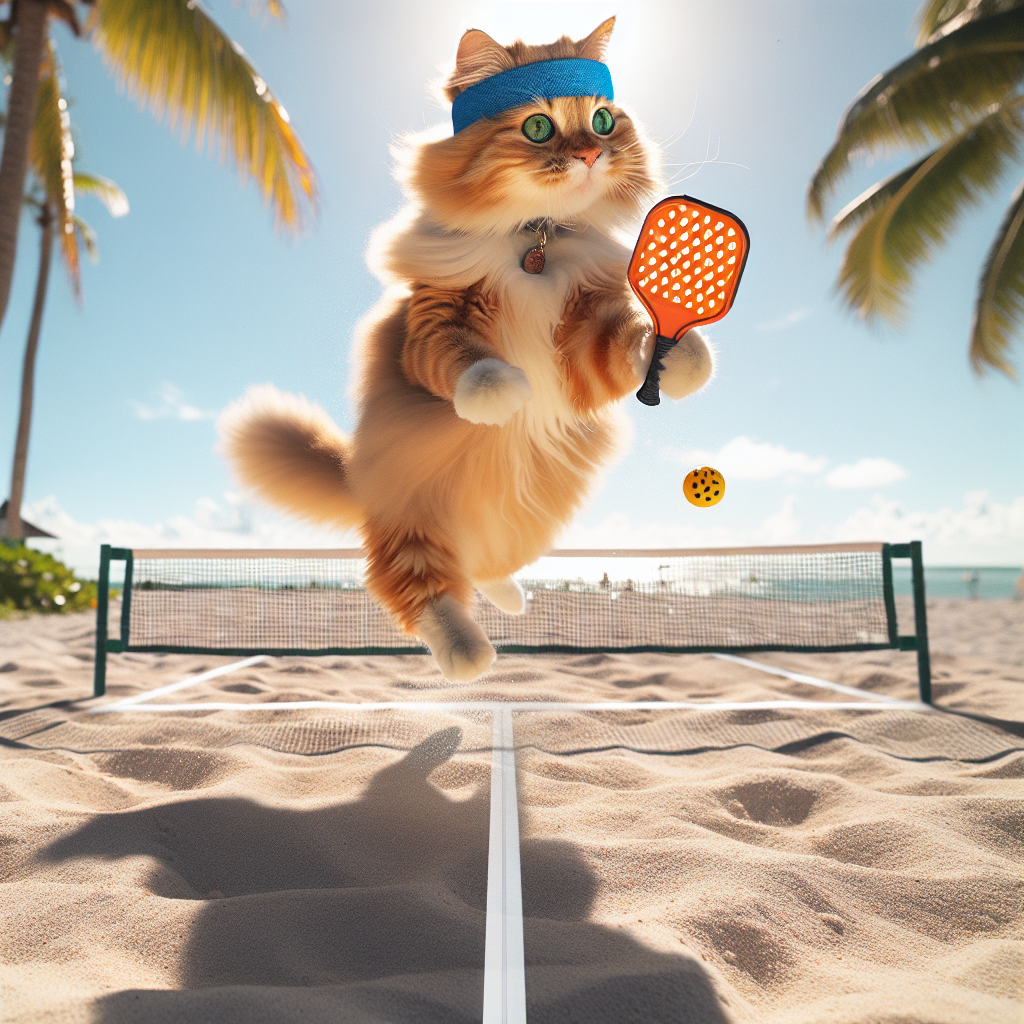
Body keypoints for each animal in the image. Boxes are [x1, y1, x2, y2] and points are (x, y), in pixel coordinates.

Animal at [218, 14, 712, 679]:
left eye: (604, 121)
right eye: (538, 127)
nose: (589, 154)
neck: (534, 237)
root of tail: (359, 476)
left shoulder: (584, 339)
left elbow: (634, 344)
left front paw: (682, 355)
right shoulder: (432, 323)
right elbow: (467, 363)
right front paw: (502, 396)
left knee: (484, 565)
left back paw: (508, 601)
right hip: (417, 518)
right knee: (420, 588)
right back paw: (467, 654)